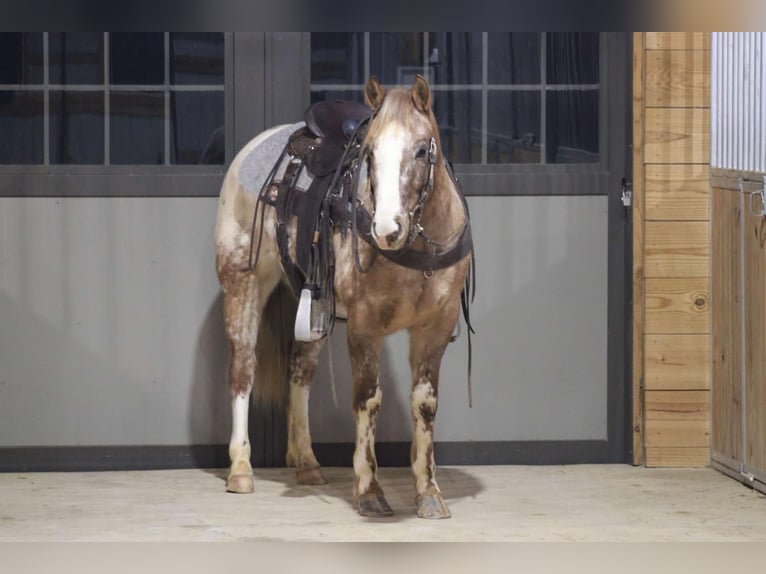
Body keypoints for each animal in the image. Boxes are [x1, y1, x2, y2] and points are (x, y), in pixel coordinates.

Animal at [212, 74, 474, 520]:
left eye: (422, 150)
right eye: (369, 153)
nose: (387, 229)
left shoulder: (435, 328)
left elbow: (424, 404)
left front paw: (429, 493)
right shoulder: (365, 325)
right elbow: (368, 400)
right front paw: (369, 490)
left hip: (312, 304)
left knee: (300, 372)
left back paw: (307, 462)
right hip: (243, 287)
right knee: (242, 371)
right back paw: (241, 469)